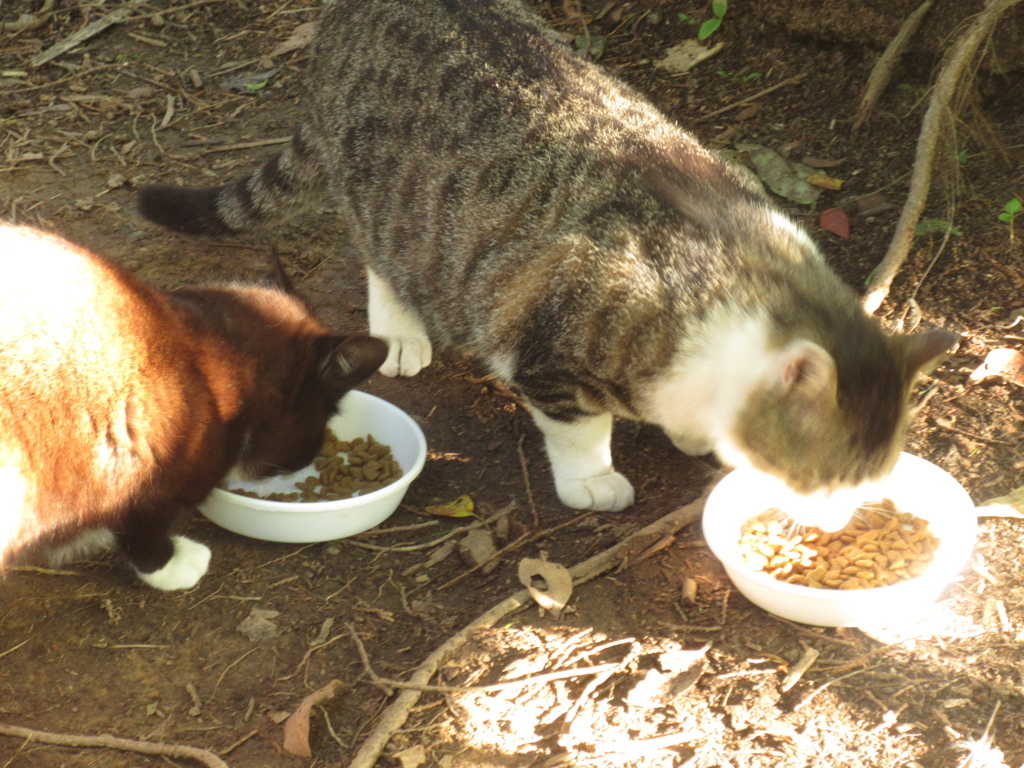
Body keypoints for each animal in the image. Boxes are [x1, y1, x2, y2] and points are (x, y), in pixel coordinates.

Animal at [134, 1, 950, 518]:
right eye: (822, 481)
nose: (841, 522)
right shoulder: (551, 348)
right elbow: (580, 427)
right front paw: (595, 480)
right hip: (392, 200)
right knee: (381, 252)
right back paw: (400, 329)